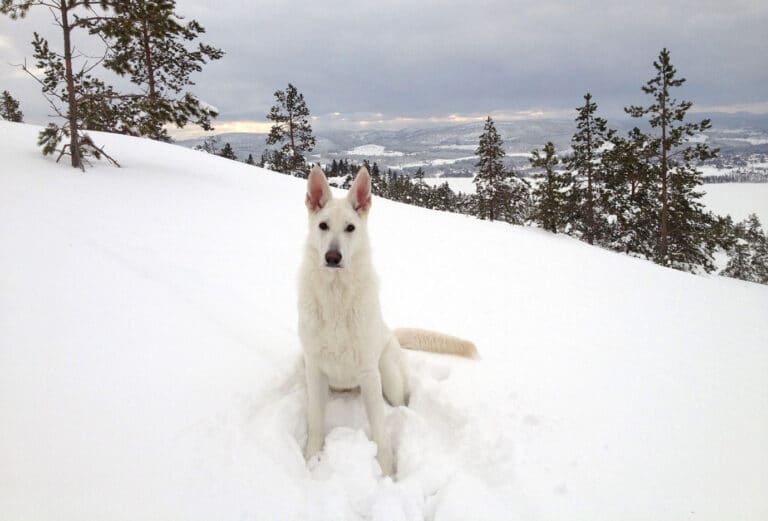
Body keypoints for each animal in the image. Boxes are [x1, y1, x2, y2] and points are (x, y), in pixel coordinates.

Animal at [298, 165, 474, 474]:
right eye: (323, 226)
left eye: (350, 228)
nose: (333, 257)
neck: (336, 296)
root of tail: (392, 332)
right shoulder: (315, 371)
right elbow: (316, 423)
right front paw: (311, 460)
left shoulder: (370, 374)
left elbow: (380, 430)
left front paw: (387, 469)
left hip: (388, 375)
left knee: (401, 402)